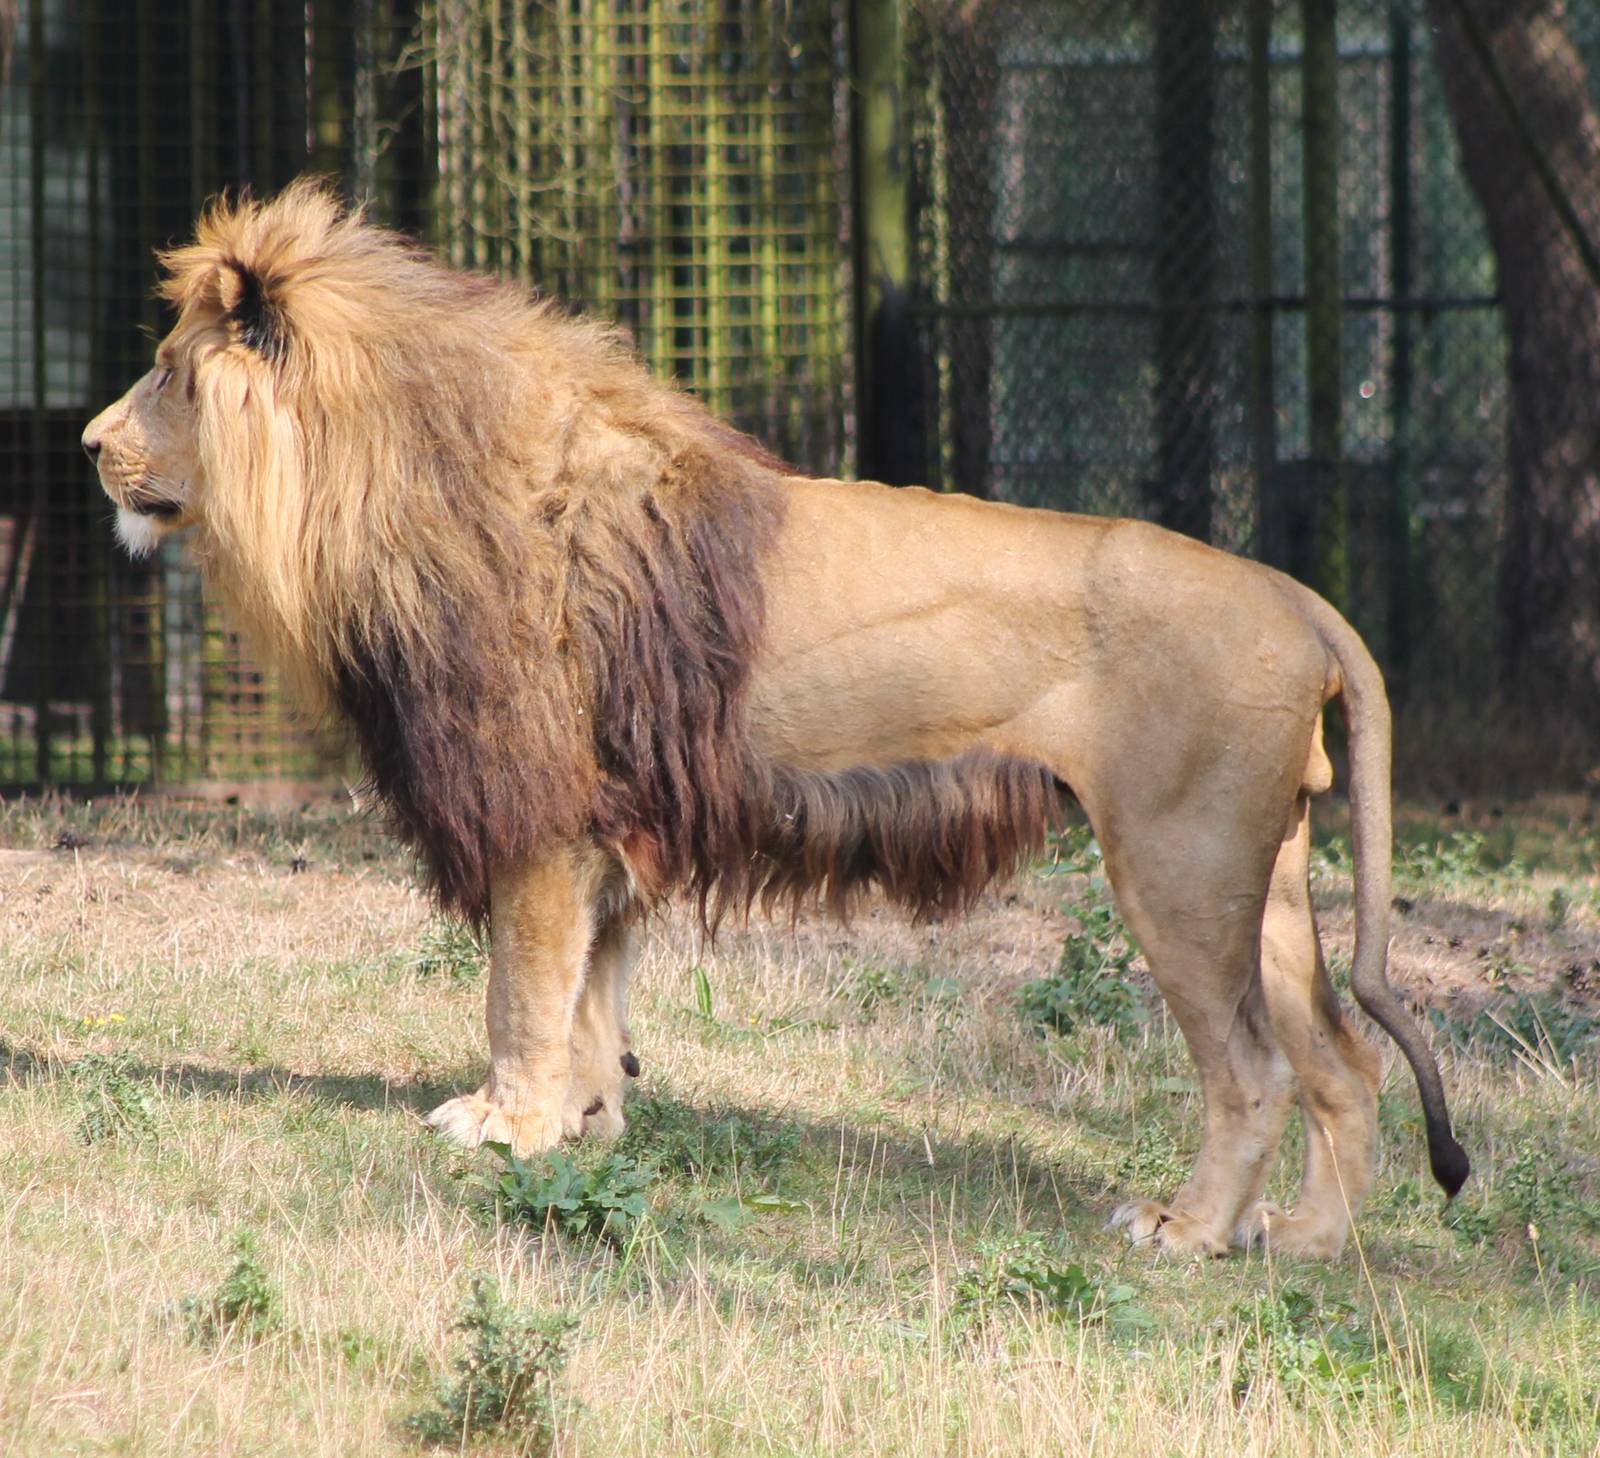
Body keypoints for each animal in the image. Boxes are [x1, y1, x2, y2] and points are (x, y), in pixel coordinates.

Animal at [83, 181, 1467, 1259]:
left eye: (168, 373)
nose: (90, 445)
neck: (391, 482)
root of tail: (1296, 594)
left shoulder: (539, 816)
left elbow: (519, 995)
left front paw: (504, 1128)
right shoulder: (608, 826)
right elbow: (593, 1001)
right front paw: (587, 1126)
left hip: (1177, 868)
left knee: (1255, 1071)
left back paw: (1189, 1231)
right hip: (1263, 877)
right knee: (1343, 1064)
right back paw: (1303, 1240)